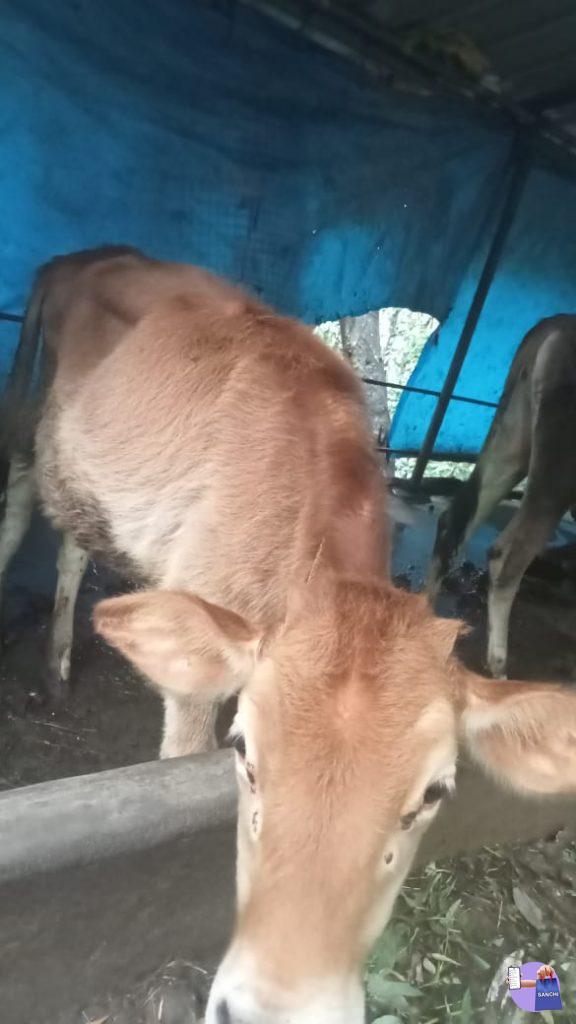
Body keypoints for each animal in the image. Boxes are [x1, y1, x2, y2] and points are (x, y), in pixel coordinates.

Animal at [427, 315, 576, 678]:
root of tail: (554, 326)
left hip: (510, 439)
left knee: (454, 520)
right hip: (558, 464)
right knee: (508, 554)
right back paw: (498, 666)